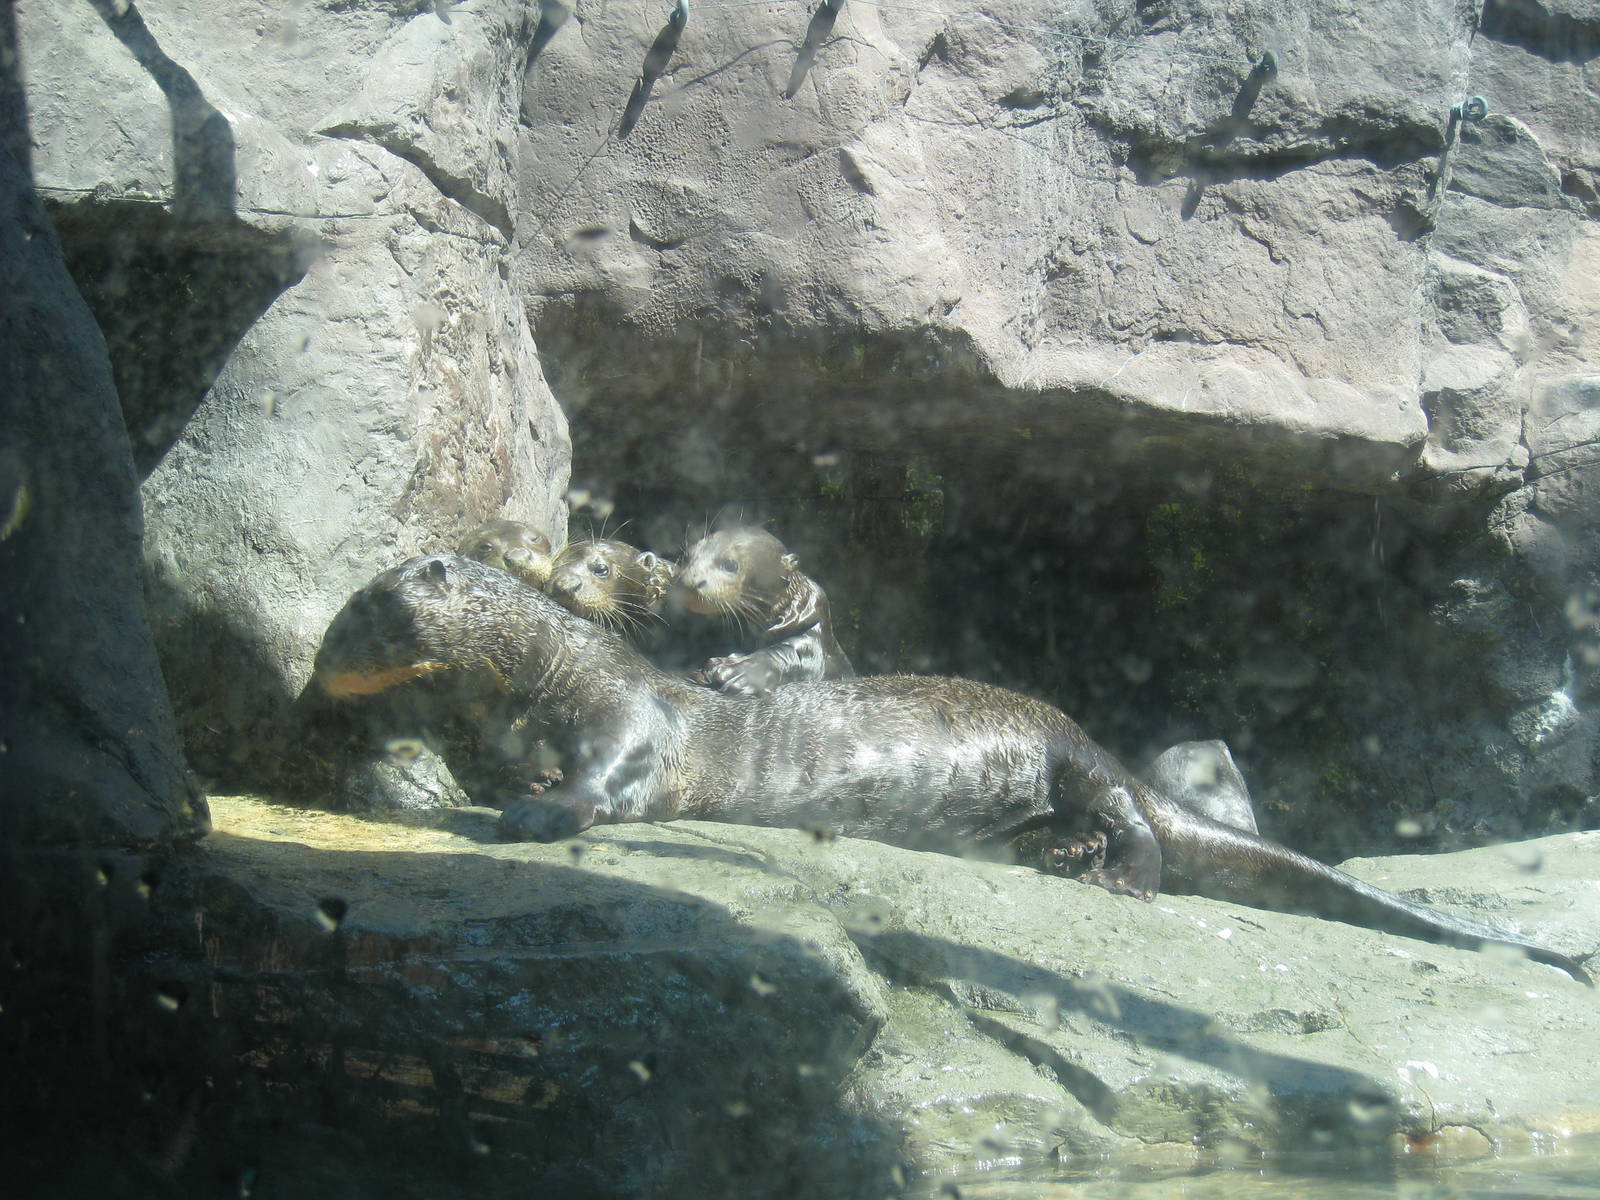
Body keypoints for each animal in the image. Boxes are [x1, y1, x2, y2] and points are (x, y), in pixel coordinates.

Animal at [314, 556, 1592, 985]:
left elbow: (605, 791)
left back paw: (1113, 872)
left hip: (1069, 751)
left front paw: (528, 818)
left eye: (356, 617)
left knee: (1132, 811)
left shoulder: (633, 726)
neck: (552, 676)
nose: (318, 674)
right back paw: (1061, 856)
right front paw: (503, 790)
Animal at [673, 526, 854, 696]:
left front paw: (741, 671)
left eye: (730, 564)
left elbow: (794, 653)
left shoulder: (815, 627)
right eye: (686, 557)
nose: (688, 581)